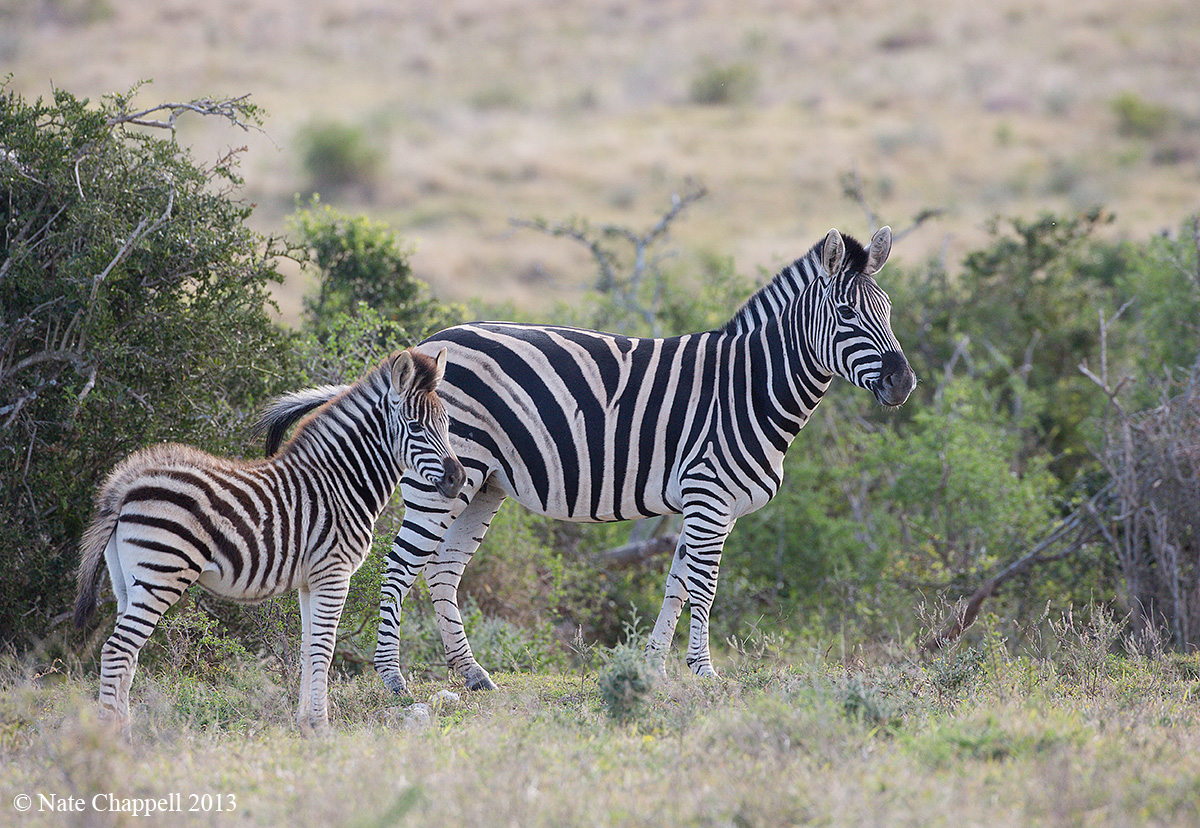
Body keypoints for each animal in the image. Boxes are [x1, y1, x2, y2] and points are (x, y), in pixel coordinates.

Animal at [73, 348, 464, 735]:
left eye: (447, 424)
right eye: (416, 427)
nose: (458, 479)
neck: (339, 484)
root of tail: (126, 483)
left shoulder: (310, 581)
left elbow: (308, 648)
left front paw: (306, 724)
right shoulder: (334, 572)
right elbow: (325, 648)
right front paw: (322, 727)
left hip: (127, 581)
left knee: (128, 655)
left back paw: (122, 730)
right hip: (161, 573)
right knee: (118, 650)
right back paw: (111, 738)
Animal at [265, 226, 916, 693]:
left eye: (887, 310)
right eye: (849, 316)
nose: (904, 383)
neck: (748, 387)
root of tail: (426, 347)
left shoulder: (703, 507)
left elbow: (676, 586)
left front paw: (652, 669)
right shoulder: (710, 498)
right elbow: (702, 589)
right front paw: (705, 674)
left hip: (481, 484)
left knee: (443, 569)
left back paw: (472, 675)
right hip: (442, 476)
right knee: (401, 565)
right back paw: (394, 678)